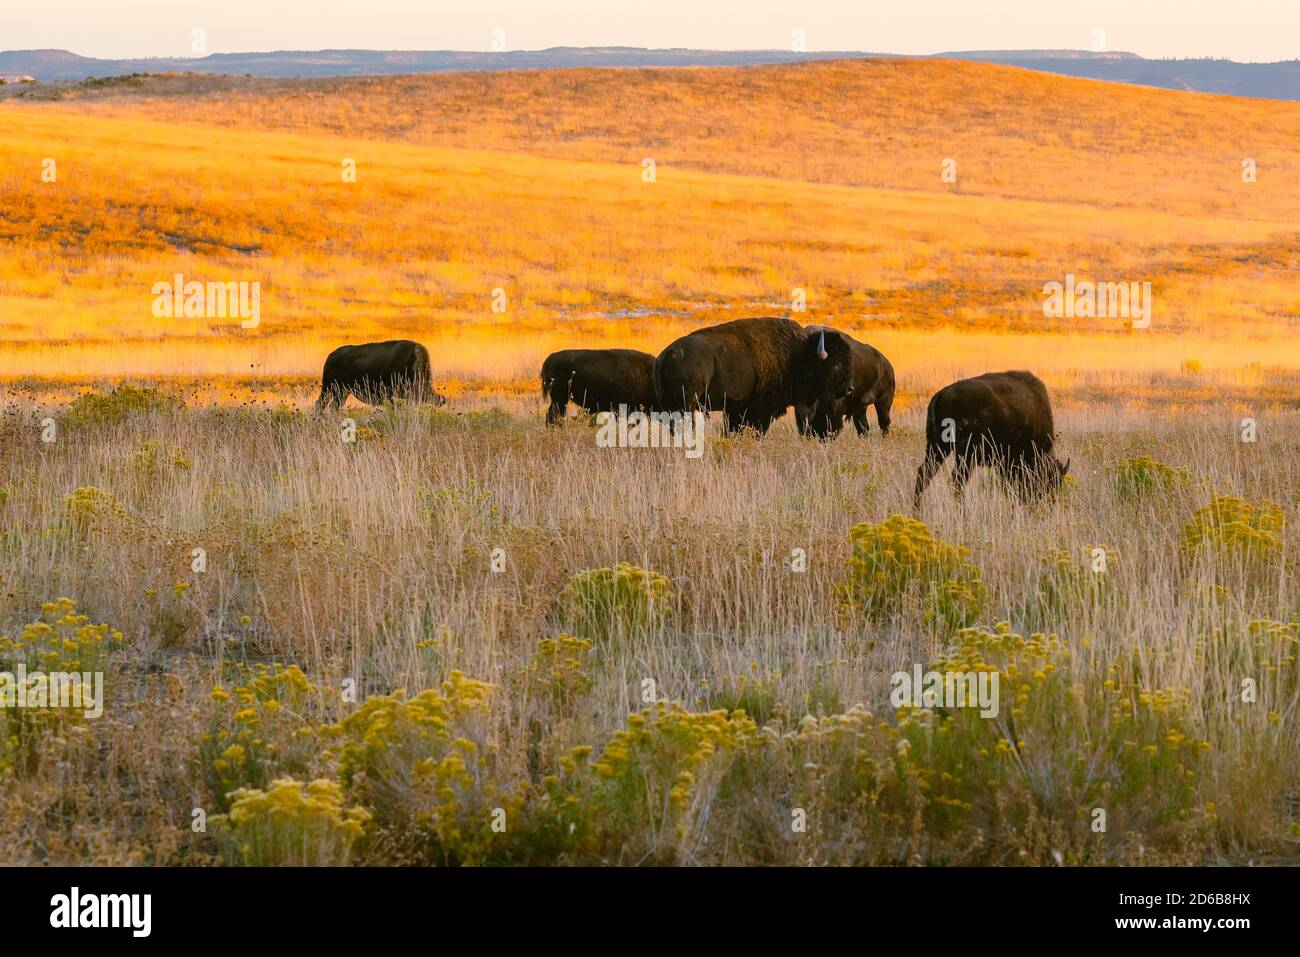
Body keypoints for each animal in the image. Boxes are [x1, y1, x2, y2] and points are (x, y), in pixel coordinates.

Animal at [653, 317, 852, 434]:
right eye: (835, 363)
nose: (849, 388)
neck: (797, 356)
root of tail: (667, 354)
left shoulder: (736, 409)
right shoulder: (760, 410)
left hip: (669, 404)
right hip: (686, 404)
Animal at [913, 370, 1069, 508]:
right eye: (1048, 481)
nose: (1050, 503)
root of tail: (941, 395)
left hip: (937, 447)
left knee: (925, 472)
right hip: (964, 454)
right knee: (958, 480)